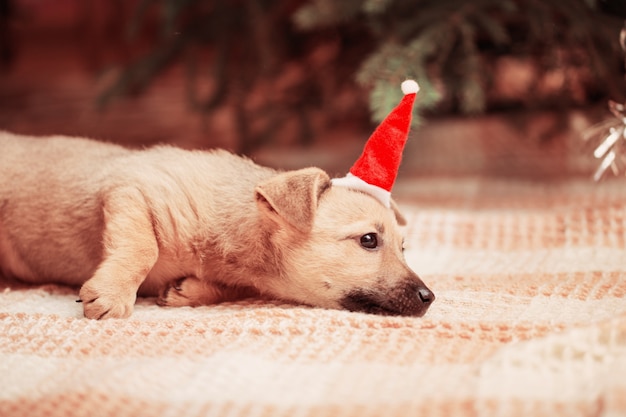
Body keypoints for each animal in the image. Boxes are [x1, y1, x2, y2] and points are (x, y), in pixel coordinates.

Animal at [0, 132, 432, 318]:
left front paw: (189, 291)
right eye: (369, 240)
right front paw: (113, 294)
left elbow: (225, 289)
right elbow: (142, 247)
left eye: (403, 247)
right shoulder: (132, 190)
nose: (429, 297)